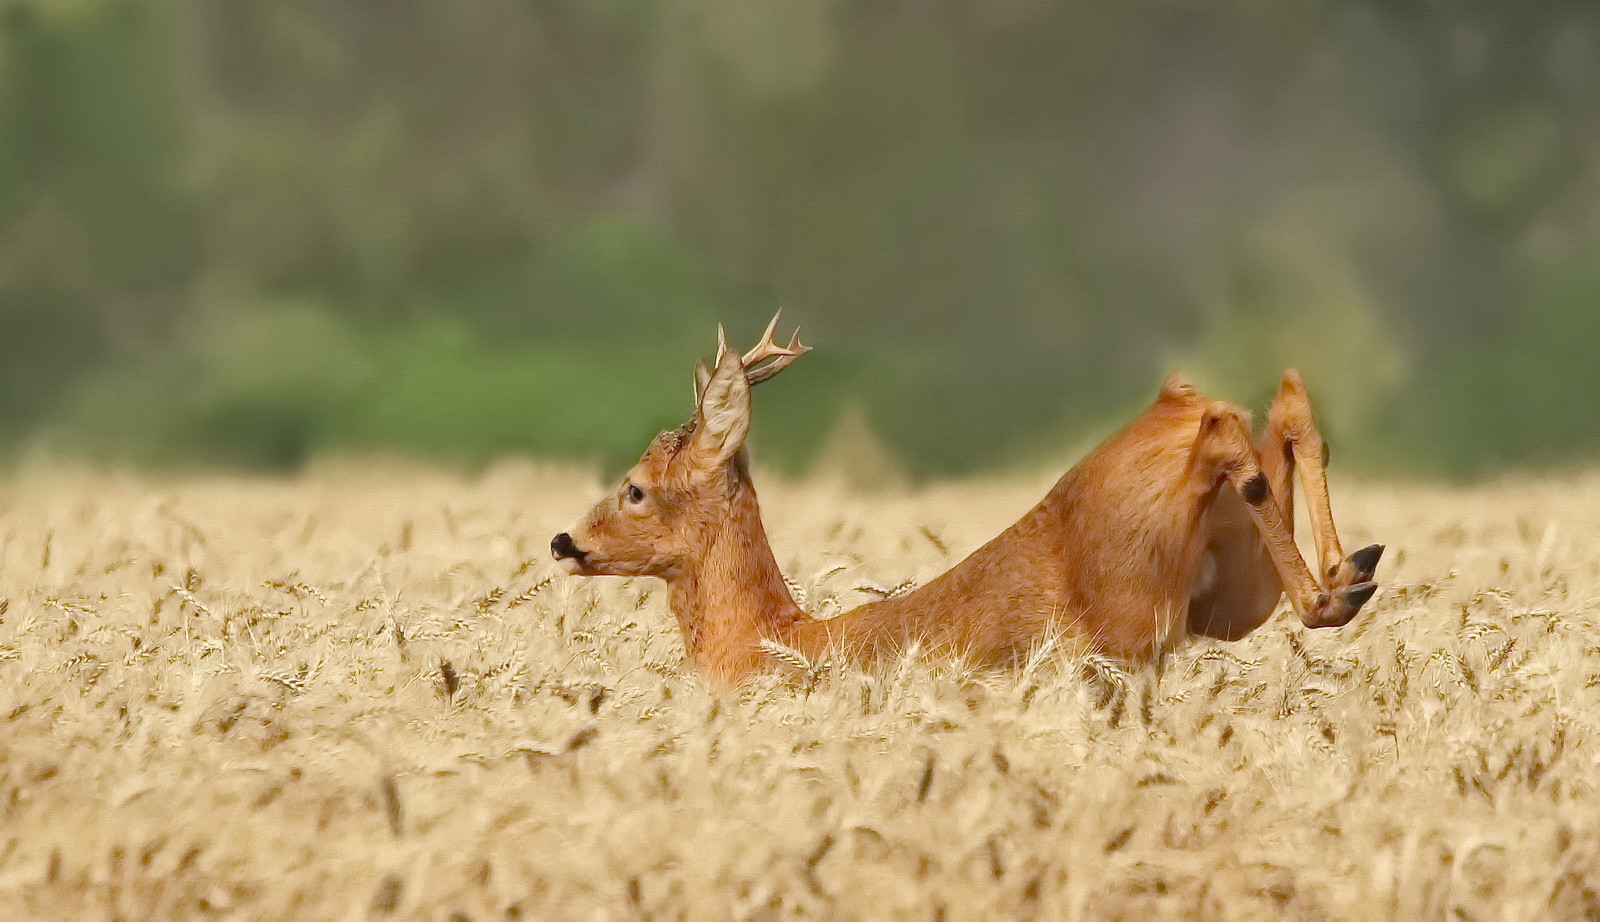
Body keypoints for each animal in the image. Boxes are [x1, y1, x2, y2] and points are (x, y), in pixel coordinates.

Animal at [550, 316, 1376, 685]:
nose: (565, 541)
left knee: (1228, 430)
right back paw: (1352, 571)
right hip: (1222, 596)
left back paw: (1336, 588)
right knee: (1283, 400)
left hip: (1133, 595)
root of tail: (1175, 403)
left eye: (635, 488)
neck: (769, 639)